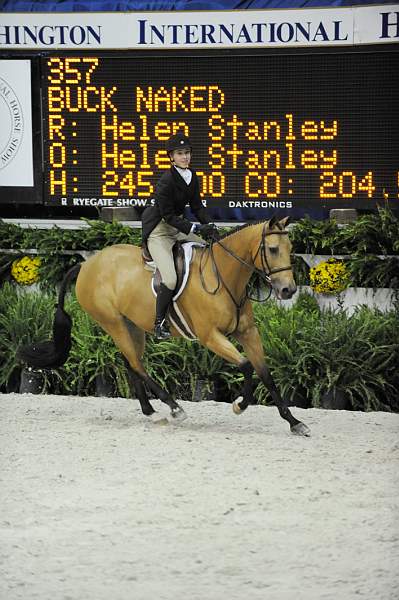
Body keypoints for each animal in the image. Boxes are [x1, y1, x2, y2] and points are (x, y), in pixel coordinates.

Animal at [18, 216, 312, 436]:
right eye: (272, 249)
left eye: (290, 248)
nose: (288, 290)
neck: (223, 276)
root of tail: (86, 263)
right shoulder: (210, 337)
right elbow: (247, 366)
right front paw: (240, 405)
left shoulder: (248, 333)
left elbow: (266, 374)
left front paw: (295, 423)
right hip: (113, 322)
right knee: (136, 365)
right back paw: (173, 408)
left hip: (132, 325)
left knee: (130, 362)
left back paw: (151, 412)